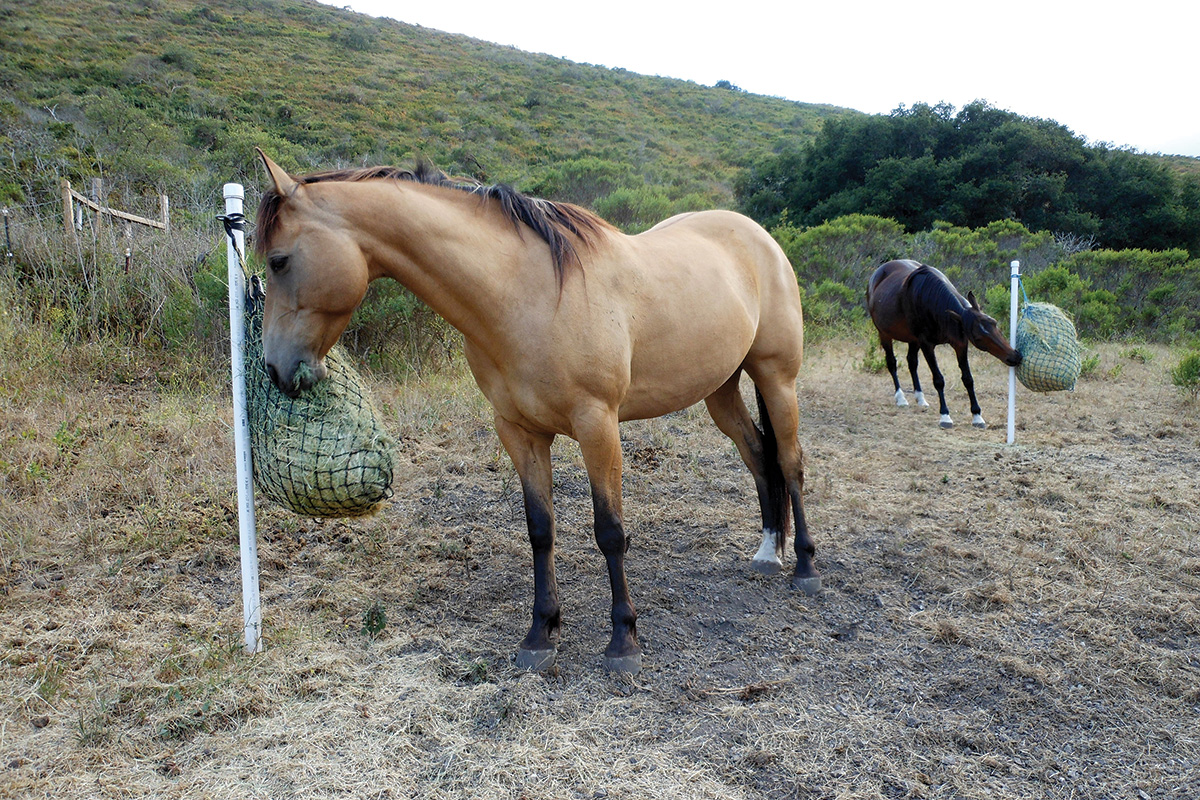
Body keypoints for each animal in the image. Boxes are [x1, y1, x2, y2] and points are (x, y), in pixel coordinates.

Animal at [249, 151, 820, 676]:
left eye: (279, 261)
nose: (275, 368)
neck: (525, 293)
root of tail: (757, 236)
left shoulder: (597, 425)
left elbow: (609, 530)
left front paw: (623, 641)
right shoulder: (519, 431)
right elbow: (540, 529)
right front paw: (540, 634)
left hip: (776, 378)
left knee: (790, 462)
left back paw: (805, 566)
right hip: (720, 390)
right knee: (757, 455)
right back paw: (768, 552)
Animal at [868, 260, 1017, 429]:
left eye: (994, 322)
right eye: (978, 338)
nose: (1014, 357)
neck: (931, 300)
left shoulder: (960, 344)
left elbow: (968, 379)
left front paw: (977, 416)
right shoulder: (926, 345)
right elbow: (938, 380)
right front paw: (945, 415)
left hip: (913, 340)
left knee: (912, 362)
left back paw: (921, 398)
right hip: (884, 334)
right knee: (892, 363)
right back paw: (900, 398)